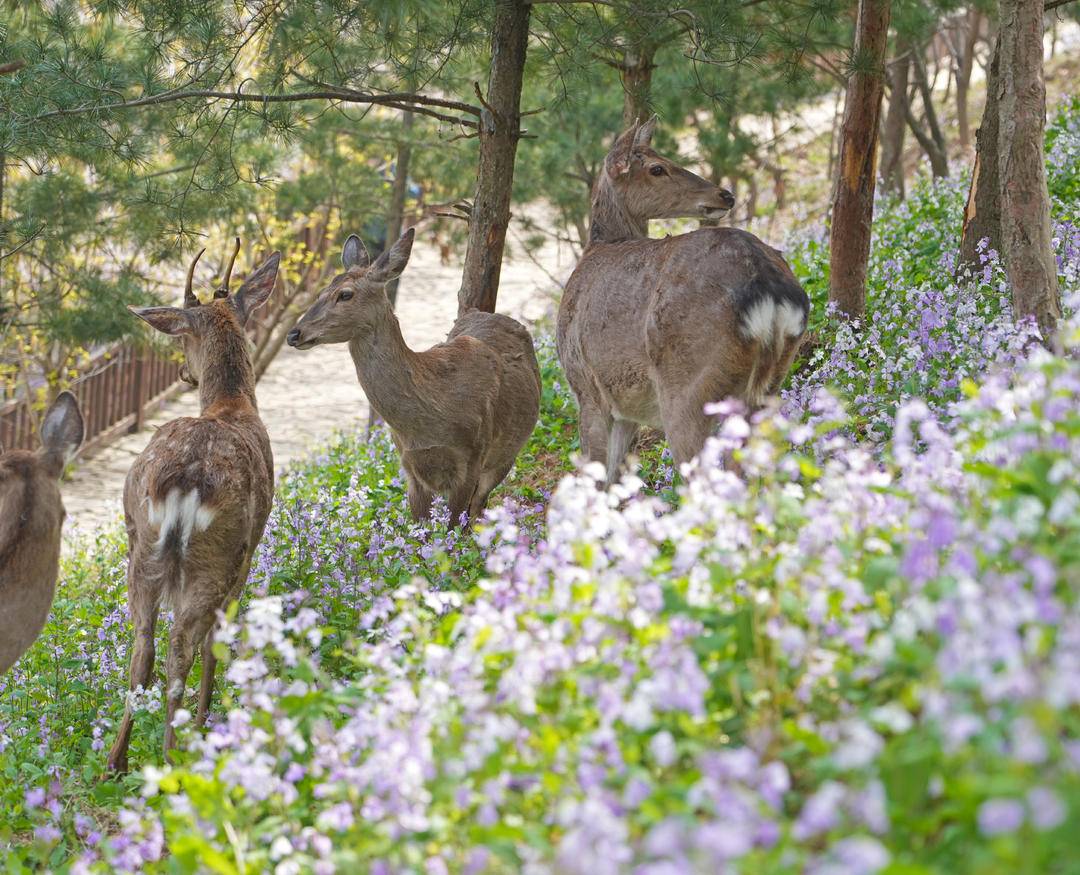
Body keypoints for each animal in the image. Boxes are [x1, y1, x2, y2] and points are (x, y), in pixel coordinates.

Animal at [106, 242, 280, 773]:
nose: (185, 371)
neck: (232, 405)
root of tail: (183, 482)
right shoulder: (247, 553)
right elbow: (216, 645)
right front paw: (208, 722)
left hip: (140, 549)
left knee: (142, 647)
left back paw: (117, 762)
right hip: (214, 556)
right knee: (182, 649)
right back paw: (174, 757)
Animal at [286, 227, 540, 528]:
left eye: (345, 294)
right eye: (321, 290)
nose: (294, 333)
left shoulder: (472, 458)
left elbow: (455, 529)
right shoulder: (408, 465)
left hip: (506, 454)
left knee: (481, 507)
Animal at [556, 116, 810, 483]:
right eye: (657, 167)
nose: (725, 194)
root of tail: (768, 289)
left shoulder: (586, 387)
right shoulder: (625, 409)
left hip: (685, 386)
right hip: (770, 382)